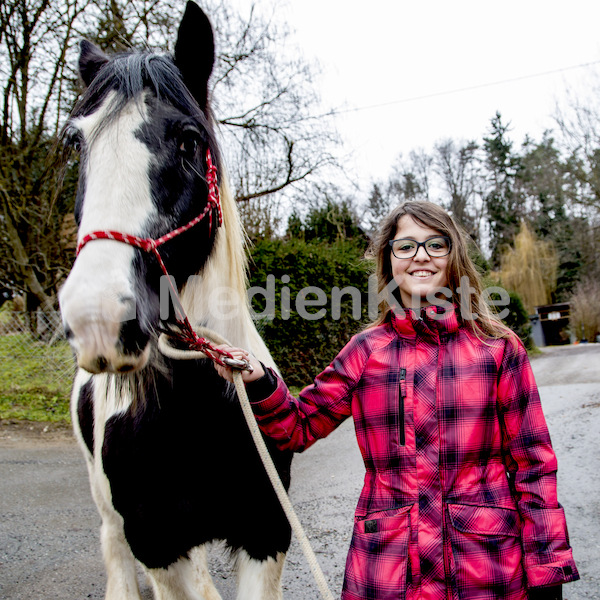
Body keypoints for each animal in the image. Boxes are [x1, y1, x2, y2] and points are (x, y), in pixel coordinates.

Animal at [58, 2, 292, 596]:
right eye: (76, 144)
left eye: (188, 140)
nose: (98, 317)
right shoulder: (159, 547)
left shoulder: (266, 535)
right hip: (109, 508)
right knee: (113, 547)